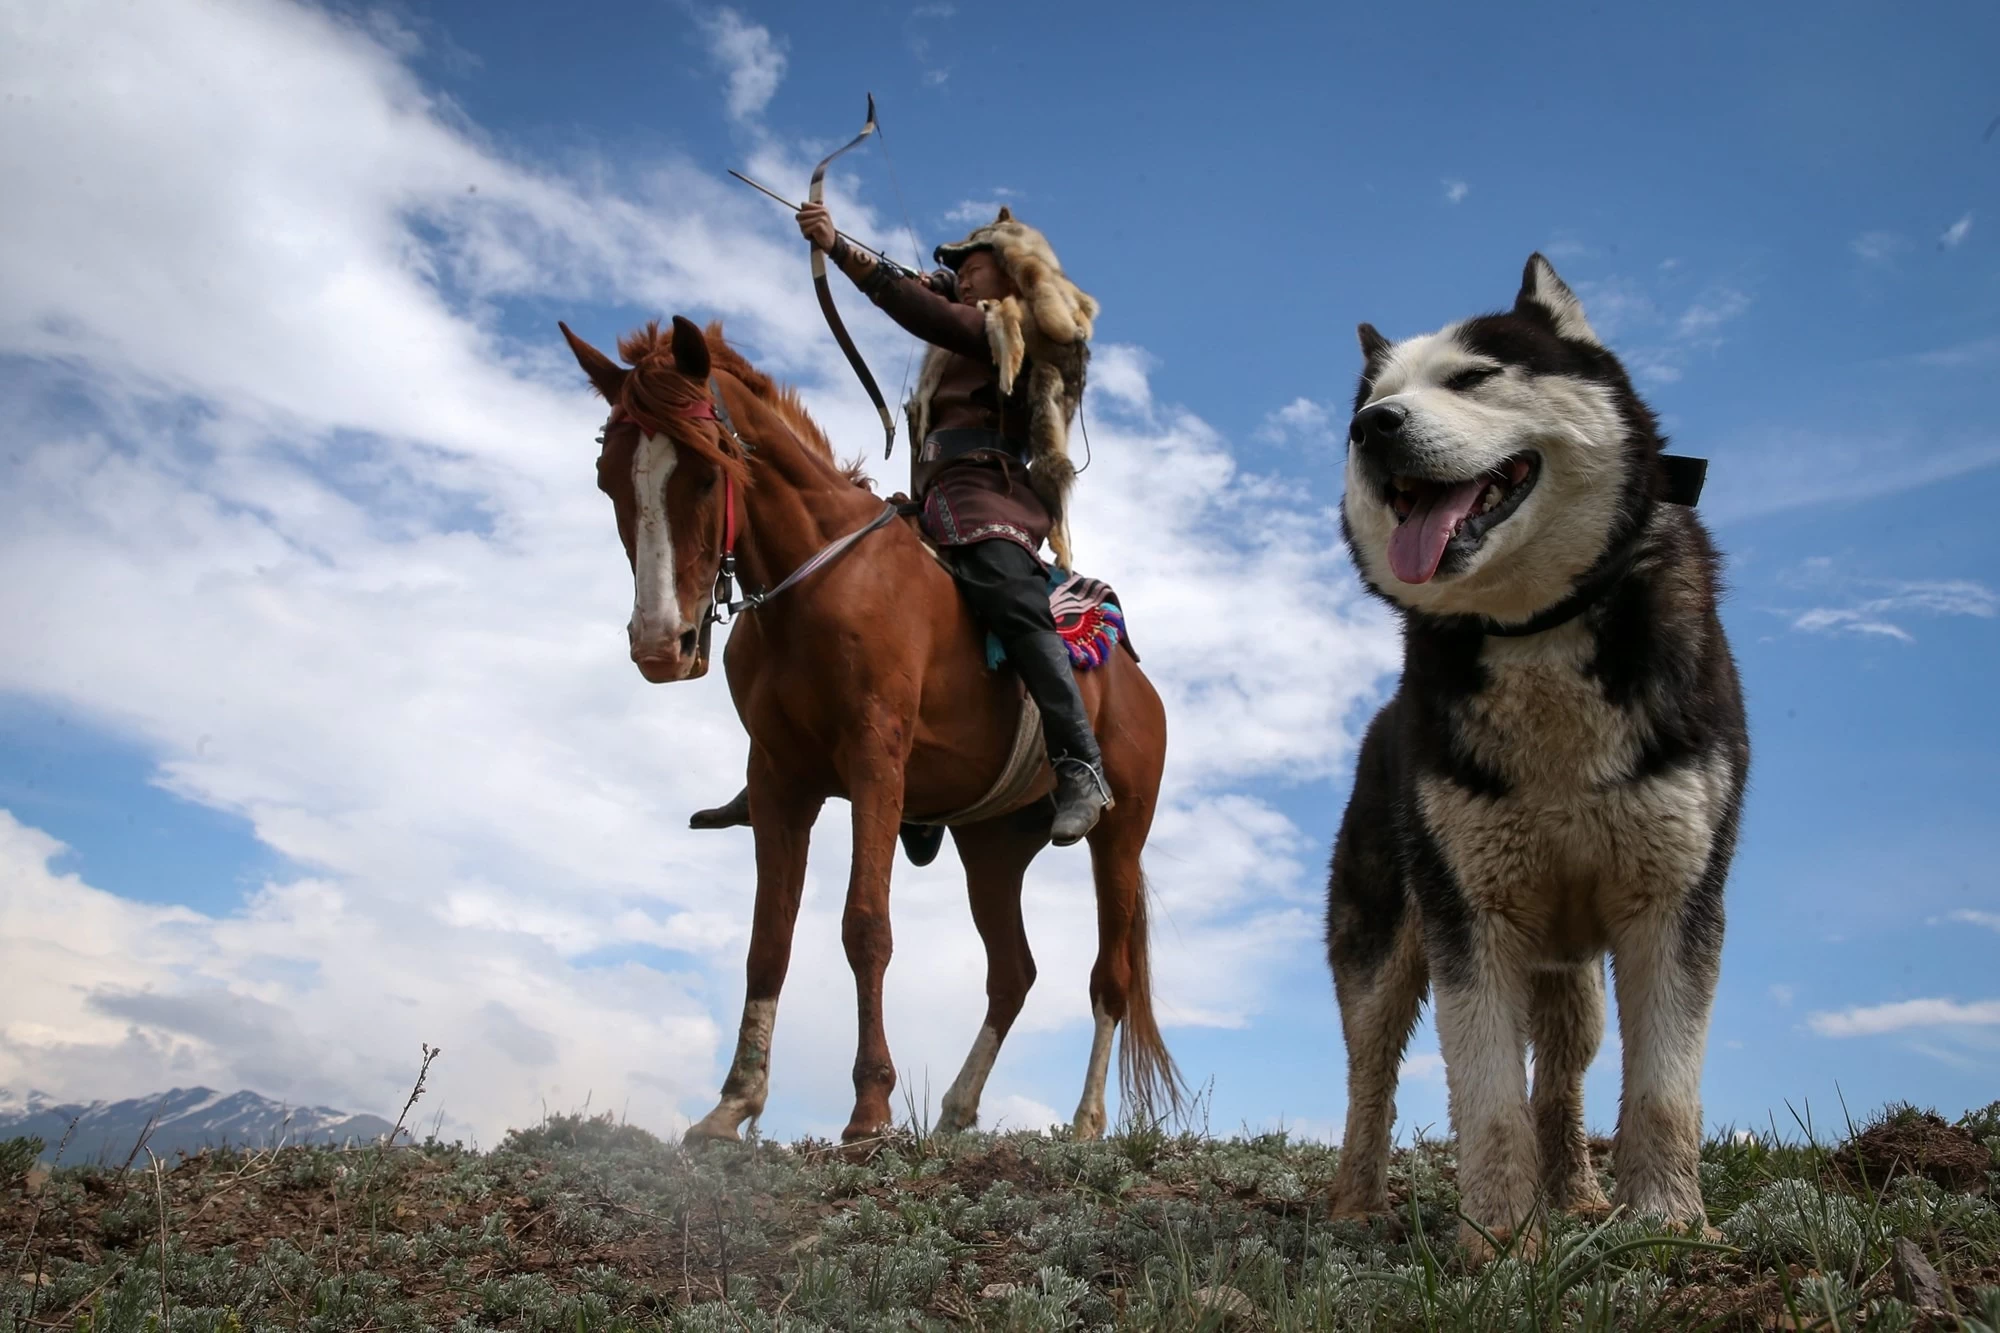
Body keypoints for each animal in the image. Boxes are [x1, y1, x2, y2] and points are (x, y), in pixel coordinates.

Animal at [564, 314, 1176, 1144]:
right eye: (609, 478)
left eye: (707, 471)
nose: (661, 643)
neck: (816, 580)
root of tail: (1138, 685)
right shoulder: (780, 780)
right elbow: (768, 939)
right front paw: (732, 1105)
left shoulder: (874, 759)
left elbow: (866, 926)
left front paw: (869, 1111)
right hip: (992, 846)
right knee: (1012, 973)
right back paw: (954, 1111)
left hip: (1120, 830)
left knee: (1108, 975)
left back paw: (1083, 1123)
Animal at [1328, 254, 1752, 1248]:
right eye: (1372, 400)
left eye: (1474, 376)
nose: (1373, 427)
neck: (1536, 629)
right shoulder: (1470, 917)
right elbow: (1486, 1102)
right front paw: (1497, 1241)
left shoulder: (1676, 902)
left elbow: (1664, 1090)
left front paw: (1669, 1223)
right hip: (1380, 950)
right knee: (1371, 1073)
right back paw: (1357, 1202)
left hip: (1572, 973)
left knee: (1561, 1074)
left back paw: (1577, 1193)